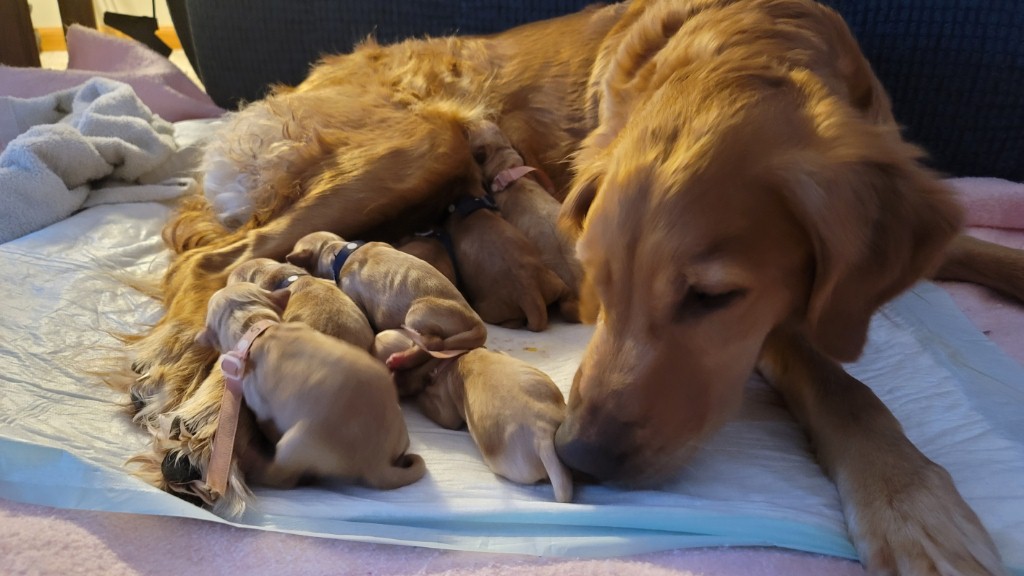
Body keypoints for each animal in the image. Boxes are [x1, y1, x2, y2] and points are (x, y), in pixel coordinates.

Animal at [195, 282, 423, 487]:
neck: (256, 327)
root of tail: (378, 462)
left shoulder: (264, 411)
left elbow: (269, 427)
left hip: (295, 443)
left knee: (282, 477)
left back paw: (253, 461)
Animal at [282, 227, 485, 364]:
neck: (339, 250)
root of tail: (478, 324)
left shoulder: (353, 295)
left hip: (417, 312)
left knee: (434, 344)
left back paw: (400, 358)